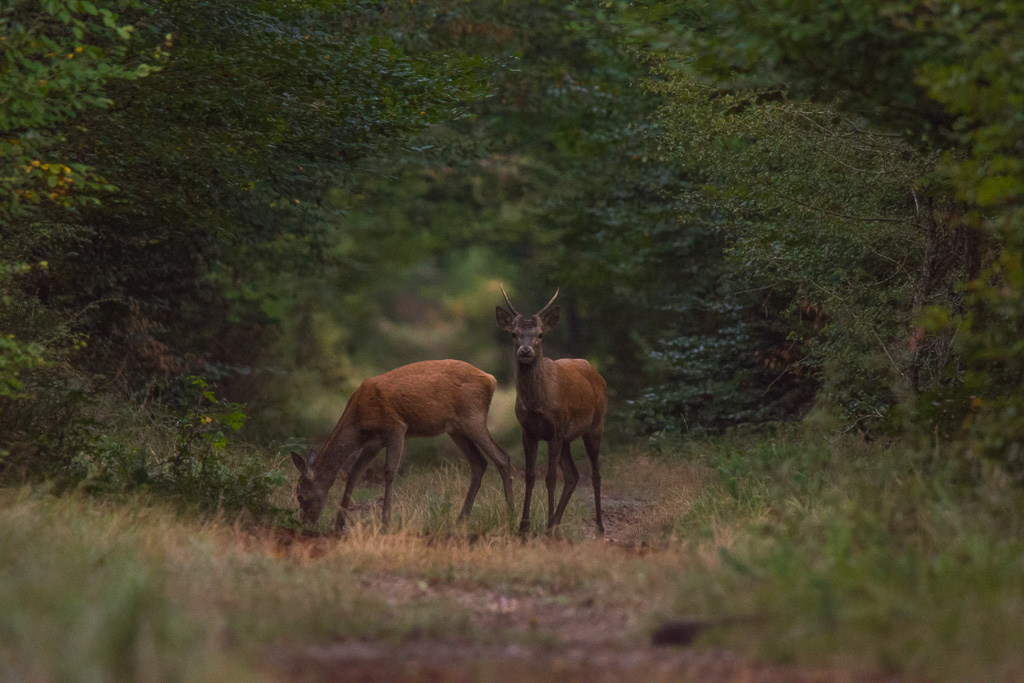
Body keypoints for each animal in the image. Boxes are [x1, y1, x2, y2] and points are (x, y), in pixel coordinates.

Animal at [290, 359, 515, 530]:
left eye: (300, 496)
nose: (305, 523)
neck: (359, 421)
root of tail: (491, 379)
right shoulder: (374, 442)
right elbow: (354, 472)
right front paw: (339, 524)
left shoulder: (396, 427)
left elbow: (390, 471)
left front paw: (385, 522)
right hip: (455, 428)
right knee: (479, 462)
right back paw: (461, 519)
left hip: (473, 416)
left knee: (502, 457)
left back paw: (511, 514)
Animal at [496, 286, 608, 535]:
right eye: (514, 334)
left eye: (540, 335)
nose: (525, 351)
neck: (538, 403)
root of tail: (598, 374)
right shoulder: (528, 430)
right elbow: (529, 476)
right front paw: (524, 526)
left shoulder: (555, 429)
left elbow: (550, 478)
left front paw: (541, 524)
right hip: (567, 438)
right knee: (573, 476)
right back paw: (555, 523)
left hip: (595, 425)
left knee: (595, 474)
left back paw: (599, 526)